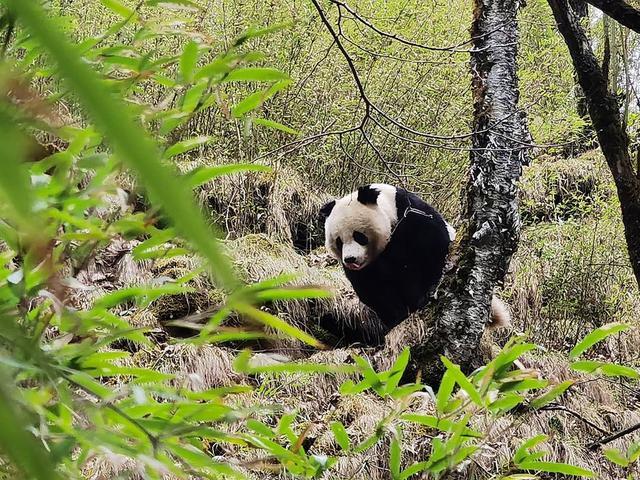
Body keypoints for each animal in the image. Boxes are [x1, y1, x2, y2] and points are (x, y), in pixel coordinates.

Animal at [320, 182, 510, 344]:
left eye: (359, 236)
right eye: (339, 241)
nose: (350, 259)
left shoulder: (413, 216)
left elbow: (428, 254)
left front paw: (422, 297)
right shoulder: (365, 271)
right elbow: (376, 290)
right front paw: (396, 316)